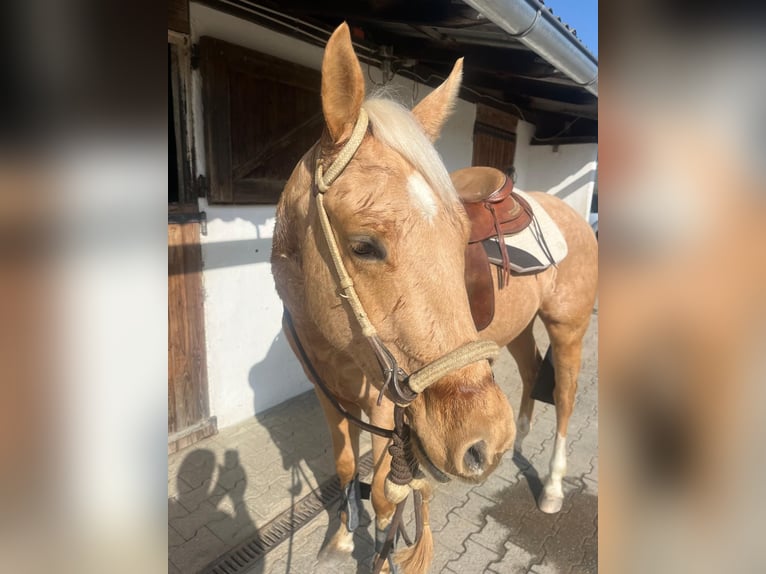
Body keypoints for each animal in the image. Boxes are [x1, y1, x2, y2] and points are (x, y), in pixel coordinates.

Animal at [271, 22, 598, 574]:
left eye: (459, 235)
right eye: (363, 245)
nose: (482, 441)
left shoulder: (384, 408)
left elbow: (388, 499)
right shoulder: (327, 392)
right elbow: (344, 465)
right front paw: (341, 537)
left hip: (568, 327)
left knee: (568, 397)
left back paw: (552, 484)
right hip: (518, 330)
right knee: (532, 368)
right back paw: (518, 440)